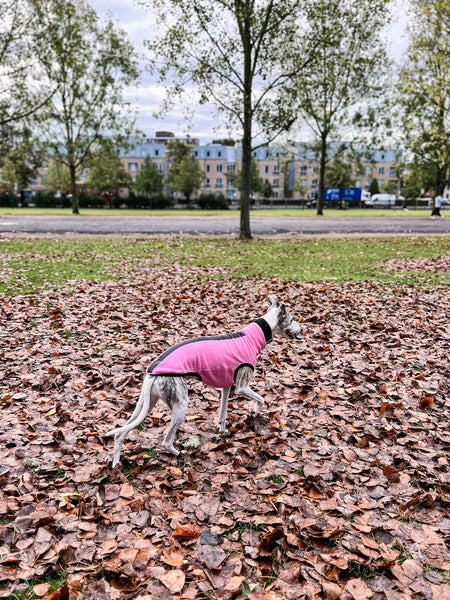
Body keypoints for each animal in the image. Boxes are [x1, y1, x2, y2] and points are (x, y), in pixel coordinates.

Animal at [106, 296, 302, 468]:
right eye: (292, 319)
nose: (302, 330)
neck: (252, 337)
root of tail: (152, 373)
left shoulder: (226, 387)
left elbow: (223, 413)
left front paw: (222, 431)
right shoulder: (242, 387)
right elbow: (262, 399)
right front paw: (254, 412)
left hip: (145, 405)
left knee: (120, 434)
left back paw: (116, 463)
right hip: (180, 405)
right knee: (166, 442)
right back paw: (181, 453)